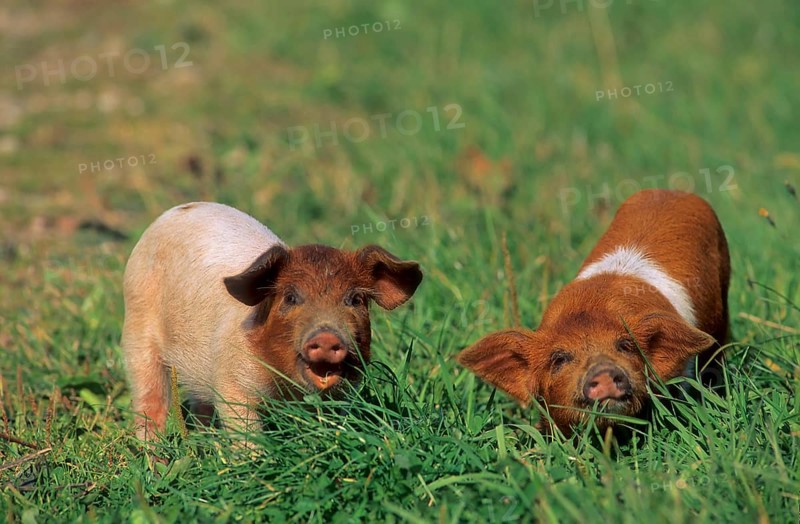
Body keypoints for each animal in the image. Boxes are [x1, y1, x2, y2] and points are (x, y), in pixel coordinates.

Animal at [121, 202, 422, 439]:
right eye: (290, 297)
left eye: (355, 300)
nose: (326, 335)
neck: (286, 387)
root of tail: (176, 211)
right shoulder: (231, 379)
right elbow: (244, 428)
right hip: (137, 323)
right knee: (150, 399)